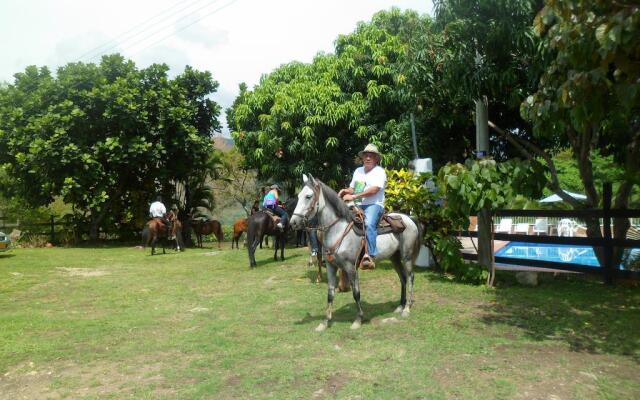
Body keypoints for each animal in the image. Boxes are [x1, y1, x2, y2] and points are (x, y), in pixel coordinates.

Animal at [288, 173, 420, 330]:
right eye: (298, 196)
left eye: (308, 196)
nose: (293, 222)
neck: (338, 230)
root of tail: (409, 219)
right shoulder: (331, 266)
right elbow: (330, 293)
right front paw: (325, 322)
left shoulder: (350, 267)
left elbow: (356, 293)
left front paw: (358, 319)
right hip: (394, 257)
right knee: (403, 278)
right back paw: (400, 306)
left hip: (406, 256)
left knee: (410, 277)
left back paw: (406, 309)